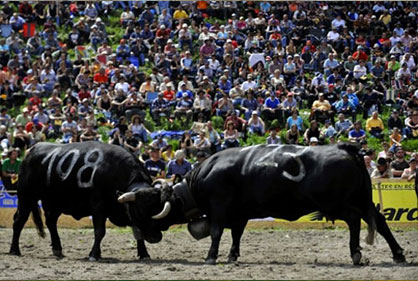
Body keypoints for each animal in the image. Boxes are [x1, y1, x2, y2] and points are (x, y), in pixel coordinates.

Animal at [10, 141, 156, 260]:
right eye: (140, 210)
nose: (155, 237)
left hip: (54, 202)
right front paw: (94, 254)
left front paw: (144, 254)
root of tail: (32, 150)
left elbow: (137, 233)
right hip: (26, 197)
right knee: (19, 220)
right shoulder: (98, 207)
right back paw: (14, 250)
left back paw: (57, 249)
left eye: (157, 208)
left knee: (51, 222)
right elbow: (99, 232)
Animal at [119, 143, 406, 264]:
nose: (149, 236)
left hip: (338, 204)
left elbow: (216, 232)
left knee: (356, 221)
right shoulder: (240, 212)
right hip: (361, 198)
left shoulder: (219, 207)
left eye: (149, 205)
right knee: (379, 220)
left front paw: (211, 256)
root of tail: (344, 147)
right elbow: (236, 234)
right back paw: (397, 253)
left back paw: (357, 253)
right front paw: (232, 255)